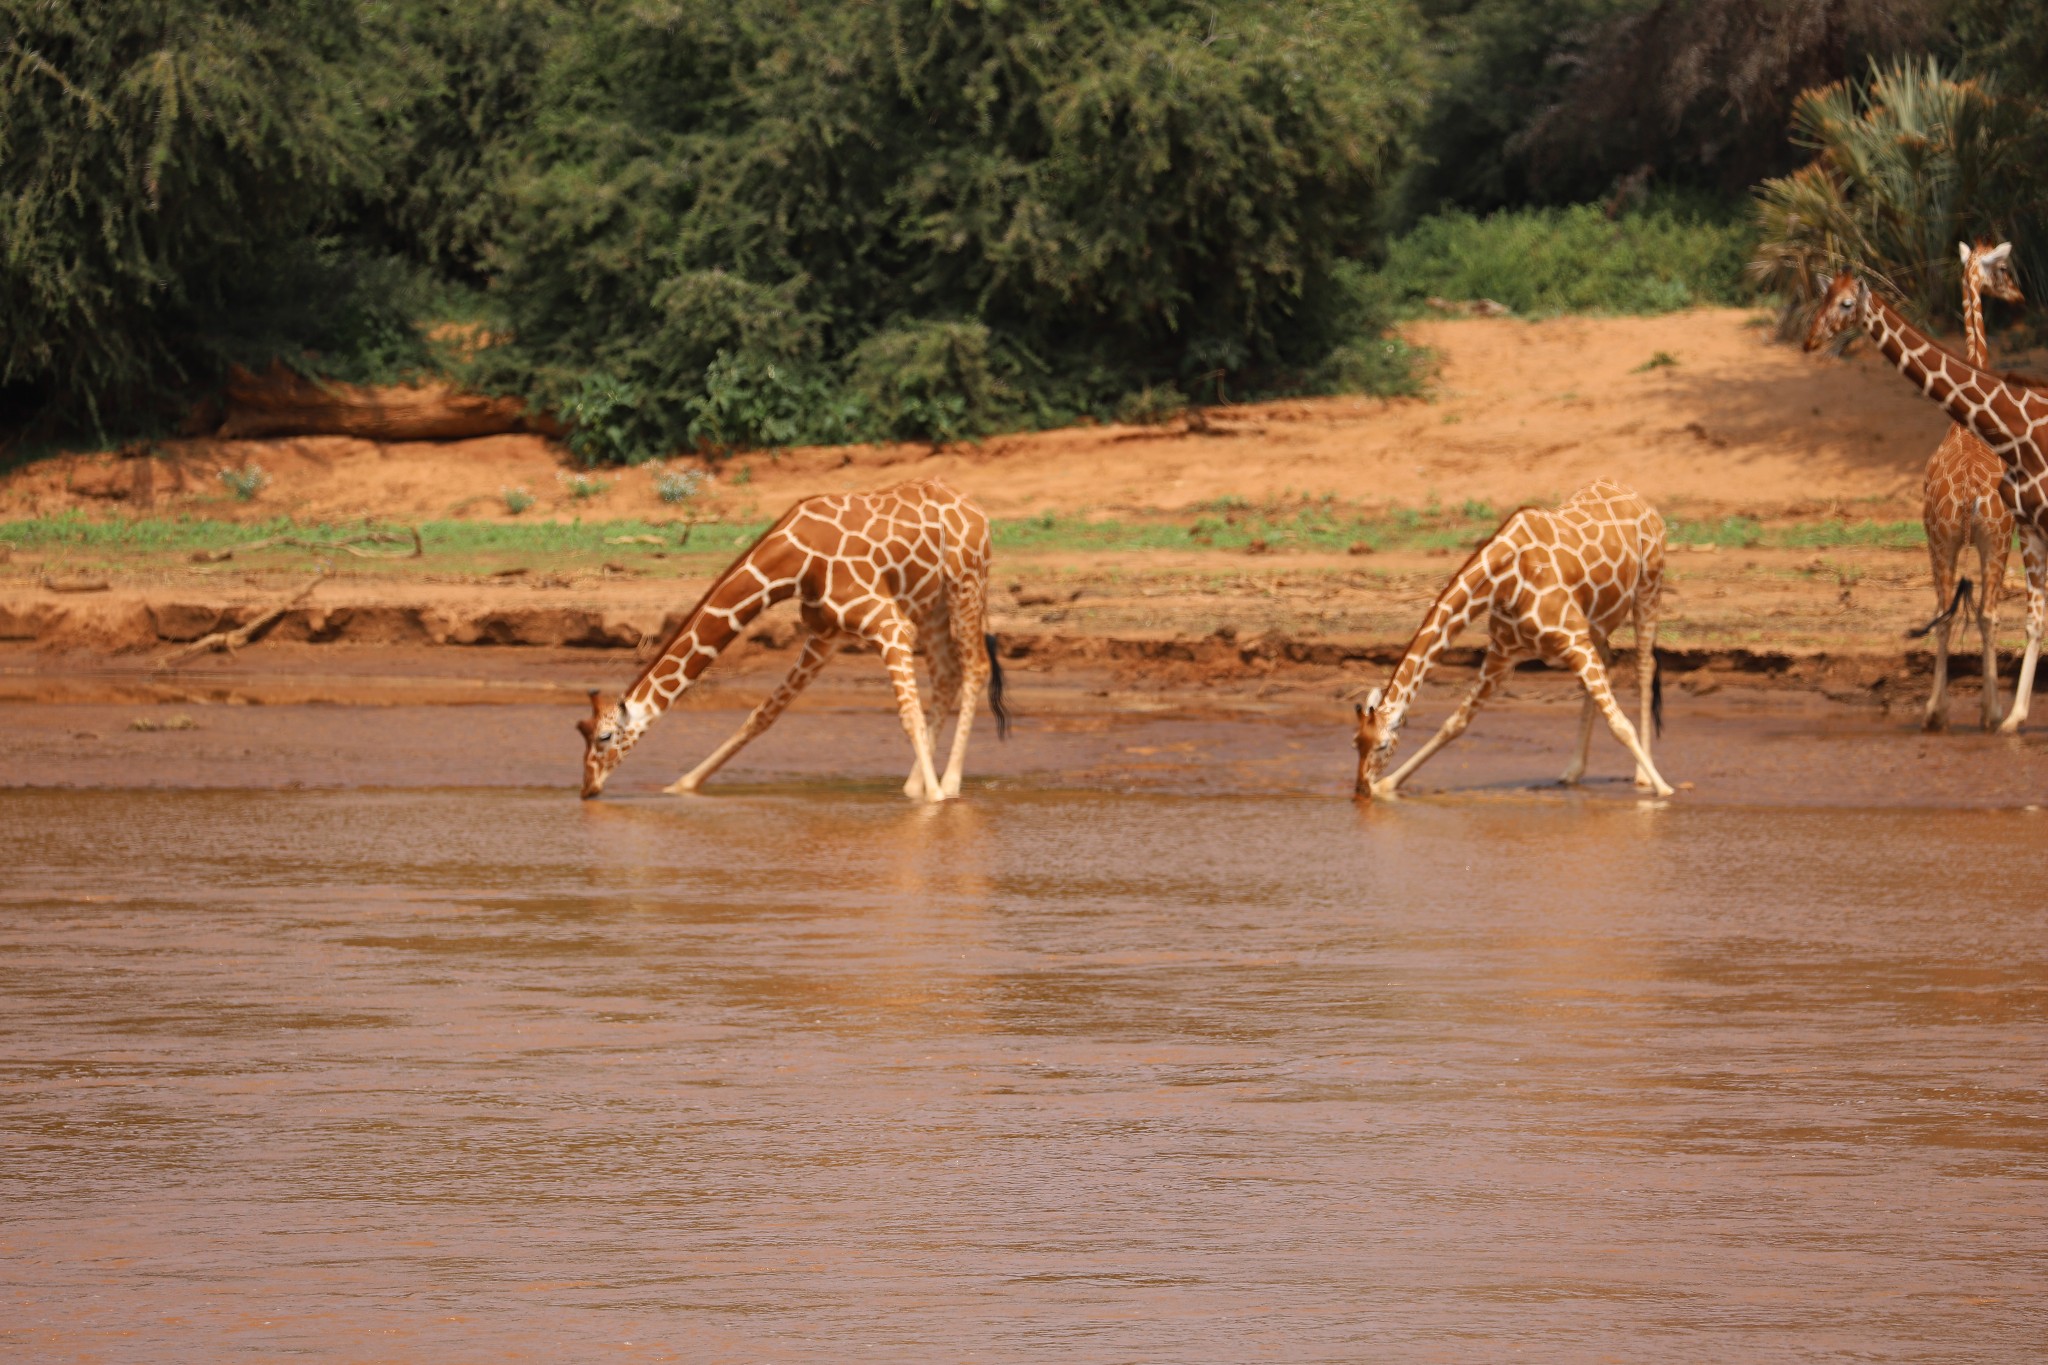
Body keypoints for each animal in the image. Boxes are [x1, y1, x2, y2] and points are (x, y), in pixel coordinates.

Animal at [573, 480, 1003, 802]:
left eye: (604, 737)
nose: (587, 788)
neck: (795, 561)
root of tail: (978, 512)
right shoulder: (826, 634)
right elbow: (763, 714)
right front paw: (682, 785)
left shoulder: (888, 623)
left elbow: (908, 715)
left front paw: (935, 798)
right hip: (932, 604)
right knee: (947, 674)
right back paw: (914, 785)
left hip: (965, 583)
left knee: (975, 667)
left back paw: (947, 784)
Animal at [1351, 480, 1671, 802]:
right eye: (1356, 742)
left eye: (1382, 745)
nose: (1361, 788)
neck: (1505, 580)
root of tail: (1639, 499)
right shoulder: (1502, 654)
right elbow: (1455, 723)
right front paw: (1388, 785)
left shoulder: (1573, 641)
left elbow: (1620, 725)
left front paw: (1664, 789)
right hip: (1597, 626)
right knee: (1606, 664)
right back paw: (1572, 771)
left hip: (1649, 586)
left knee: (1645, 665)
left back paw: (1642, 775)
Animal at [1810, 270, 2048, 732]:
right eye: (1822, 297)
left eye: (1846, 303)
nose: (1810, 339)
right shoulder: (2027, 526)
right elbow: (2027, 618)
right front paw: (2008, 716)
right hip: (1979, 539)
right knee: (1974, 612)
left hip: (1956, 539)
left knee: (1955, 611)